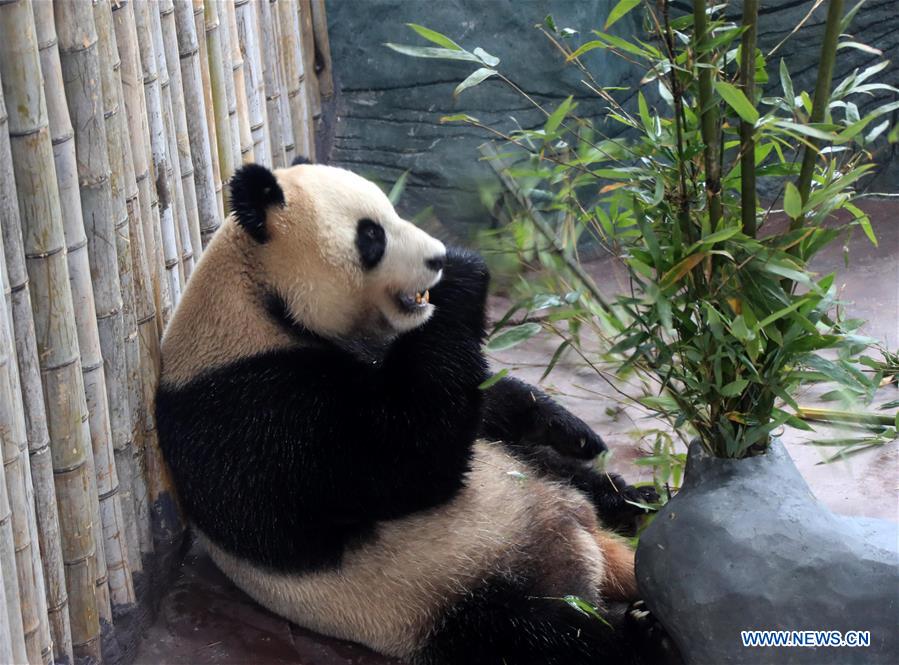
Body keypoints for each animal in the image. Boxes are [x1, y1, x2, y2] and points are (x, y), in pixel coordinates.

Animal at [156, 158, 676, 660]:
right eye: (372, 235)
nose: (438, 257)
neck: (260, 303)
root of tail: (586, 543)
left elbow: (473, 398)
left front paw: (566, 427)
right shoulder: (251, 407)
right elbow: (406, 460)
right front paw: (463, 276)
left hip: (523, 480)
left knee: (563, 476)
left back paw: (637, 500)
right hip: (445, 595)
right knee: (539, 636)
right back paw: (640, 630)